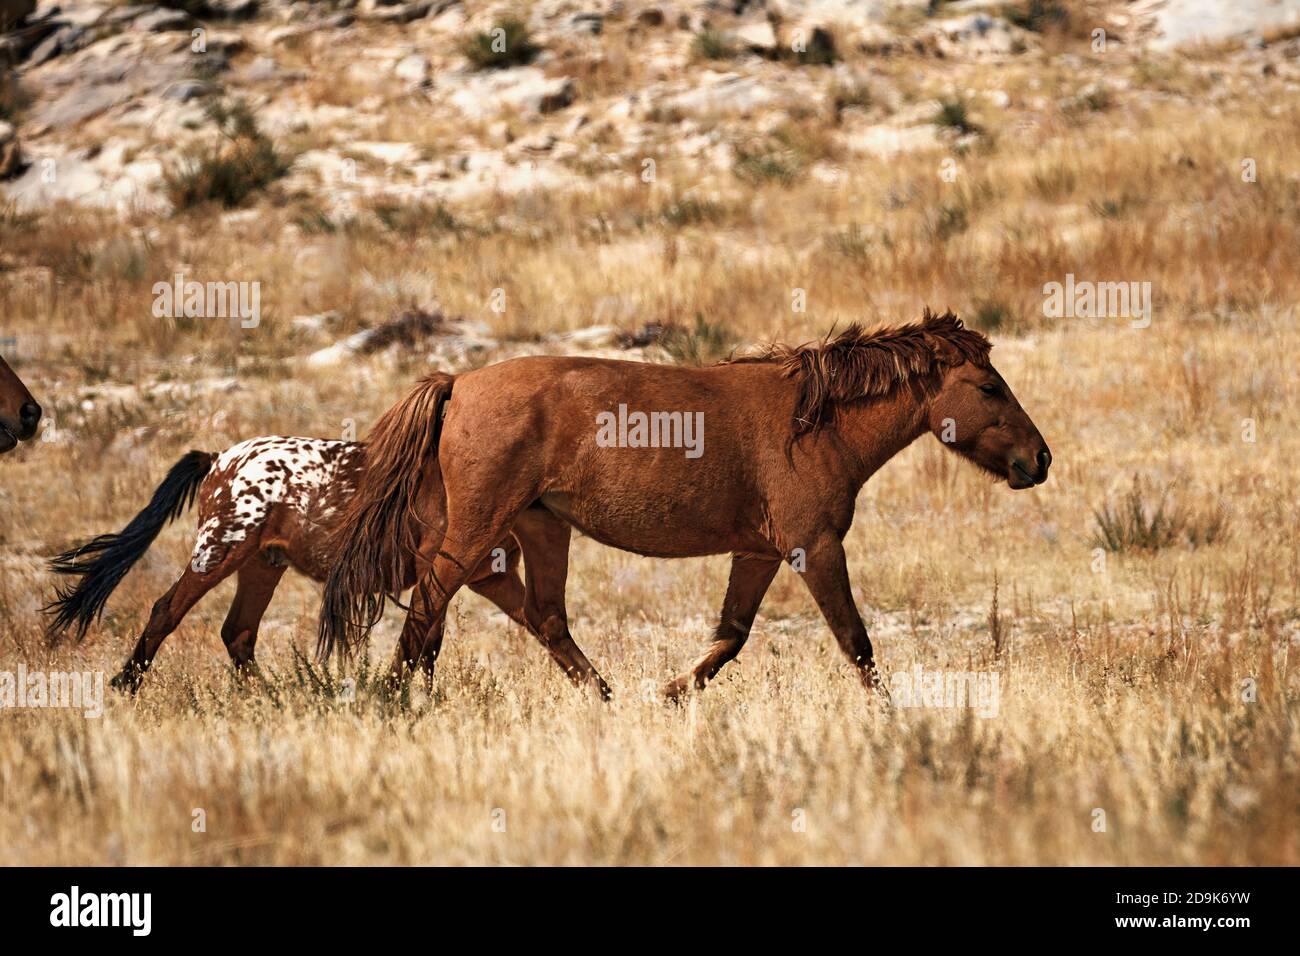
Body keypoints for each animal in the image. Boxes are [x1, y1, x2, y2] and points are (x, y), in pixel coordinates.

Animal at [47, 429, 527, 691]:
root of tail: (219, 460)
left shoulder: (479, 577)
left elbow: (434, 644)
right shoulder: (441, 572)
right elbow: (423, 644)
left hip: (262, 564)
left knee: (238, 632)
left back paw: (267, 695)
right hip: (219, 550)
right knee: (167, 610)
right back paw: (126, 685)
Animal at [319, 314, 1050, 702]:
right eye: (988, 387)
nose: (1039, 459)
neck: (814, 424)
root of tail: (458, 383)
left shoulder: (759, 552)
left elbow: (731, 636)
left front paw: (671, 694)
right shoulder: (814, 547)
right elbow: (857, 640)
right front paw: (891, 715)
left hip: (538, 526)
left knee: (537, 614)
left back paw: (605, 698)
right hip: (481, 526)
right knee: (435, 598)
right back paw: (396, 693)